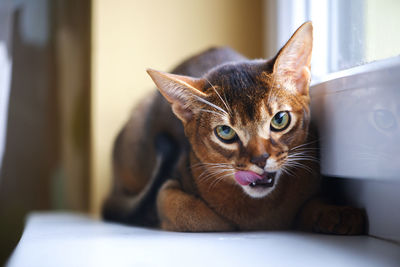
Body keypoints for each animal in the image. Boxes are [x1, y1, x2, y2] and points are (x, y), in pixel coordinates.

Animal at [102, 21, 366, 234]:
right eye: (225, 132)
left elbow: (310, 203)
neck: (263, 208)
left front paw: (337, 213)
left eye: (280, 119)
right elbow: (193, 214)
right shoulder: (168, 189)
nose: (260, 159)